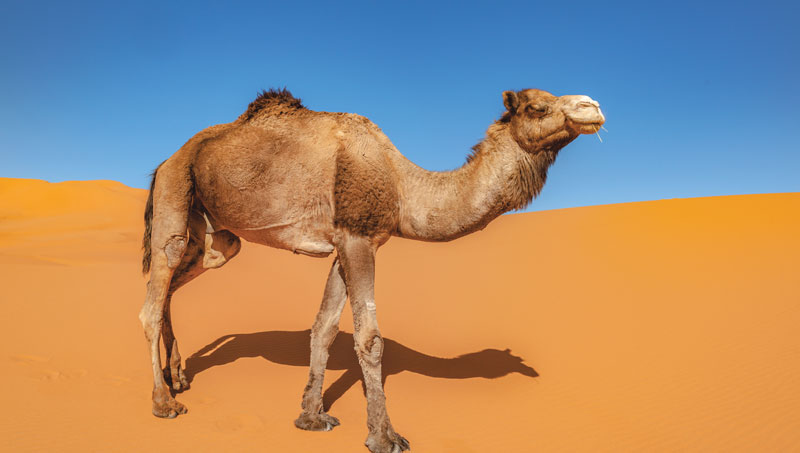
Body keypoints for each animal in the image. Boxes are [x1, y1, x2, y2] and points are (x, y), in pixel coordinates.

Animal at [140, 87, 604, 453]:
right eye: (537, 107)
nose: (593, 105)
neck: (402, 186)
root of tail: (164, 160)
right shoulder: (358, 238)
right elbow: (370, 338)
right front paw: (385, 437)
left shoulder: (346, 243)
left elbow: (324, 327)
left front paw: (311, 417)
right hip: (175, 191)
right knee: (153, 296)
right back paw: (164, 402)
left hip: (217, 236)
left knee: (178, 281)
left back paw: (179, 376)